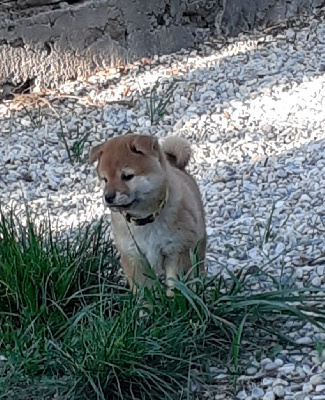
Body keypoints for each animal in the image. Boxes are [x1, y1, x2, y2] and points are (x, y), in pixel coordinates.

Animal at [88, 136, 205, 296]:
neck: (145, 219)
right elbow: (143, 293)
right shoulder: (134, 257)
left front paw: (174, 301)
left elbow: (175, 287)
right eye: (105, 179)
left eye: (127, 176)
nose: (108, 197)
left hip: (197, 244)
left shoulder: (177, 251)